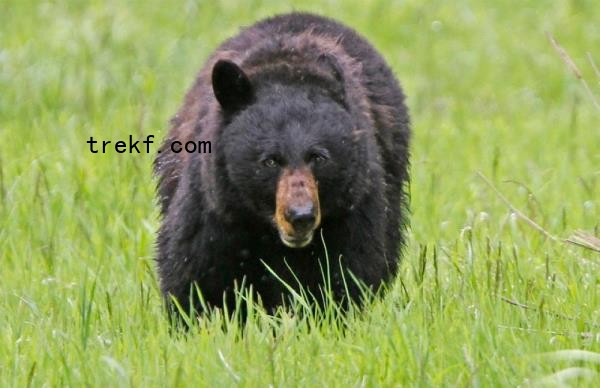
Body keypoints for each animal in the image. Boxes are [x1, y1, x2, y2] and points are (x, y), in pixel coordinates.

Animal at [152, 12, 410, 316]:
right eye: (270, 161)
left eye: (319, 157)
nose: (300, 216)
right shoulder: (215, 204)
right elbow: (194, 271)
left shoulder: (353, 205)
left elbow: (348, 272)